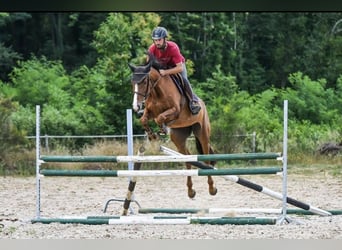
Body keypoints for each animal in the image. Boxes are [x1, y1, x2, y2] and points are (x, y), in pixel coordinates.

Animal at [128, 59, 216, 199]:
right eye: (132, 82)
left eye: (144, 82)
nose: (136, 107)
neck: (157, 92)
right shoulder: (149, 112)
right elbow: (144, 120)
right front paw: (153, 136)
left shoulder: (175, 111)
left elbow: (160, 118)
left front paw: (161, 130)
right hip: (178, 137)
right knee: (188, 160)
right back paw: (190, 191)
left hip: (202, 133)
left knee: (206, 158)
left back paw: (212, 188)